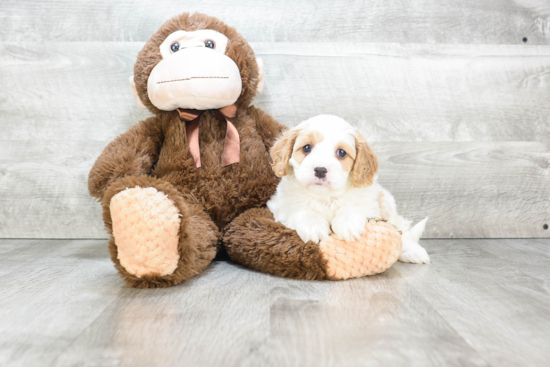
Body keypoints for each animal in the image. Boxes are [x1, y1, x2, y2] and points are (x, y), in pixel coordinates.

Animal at [268, 115, 432, 264]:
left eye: (341, 152)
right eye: (307, 148)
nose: (320, 170)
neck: (325, 197)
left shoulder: (368, 203)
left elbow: (352, 208)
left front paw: (348, 224)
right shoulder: (281, 206)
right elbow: (300, 211)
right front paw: (313, 226)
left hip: (387, 203)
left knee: (401, 230)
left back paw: (411, 251)